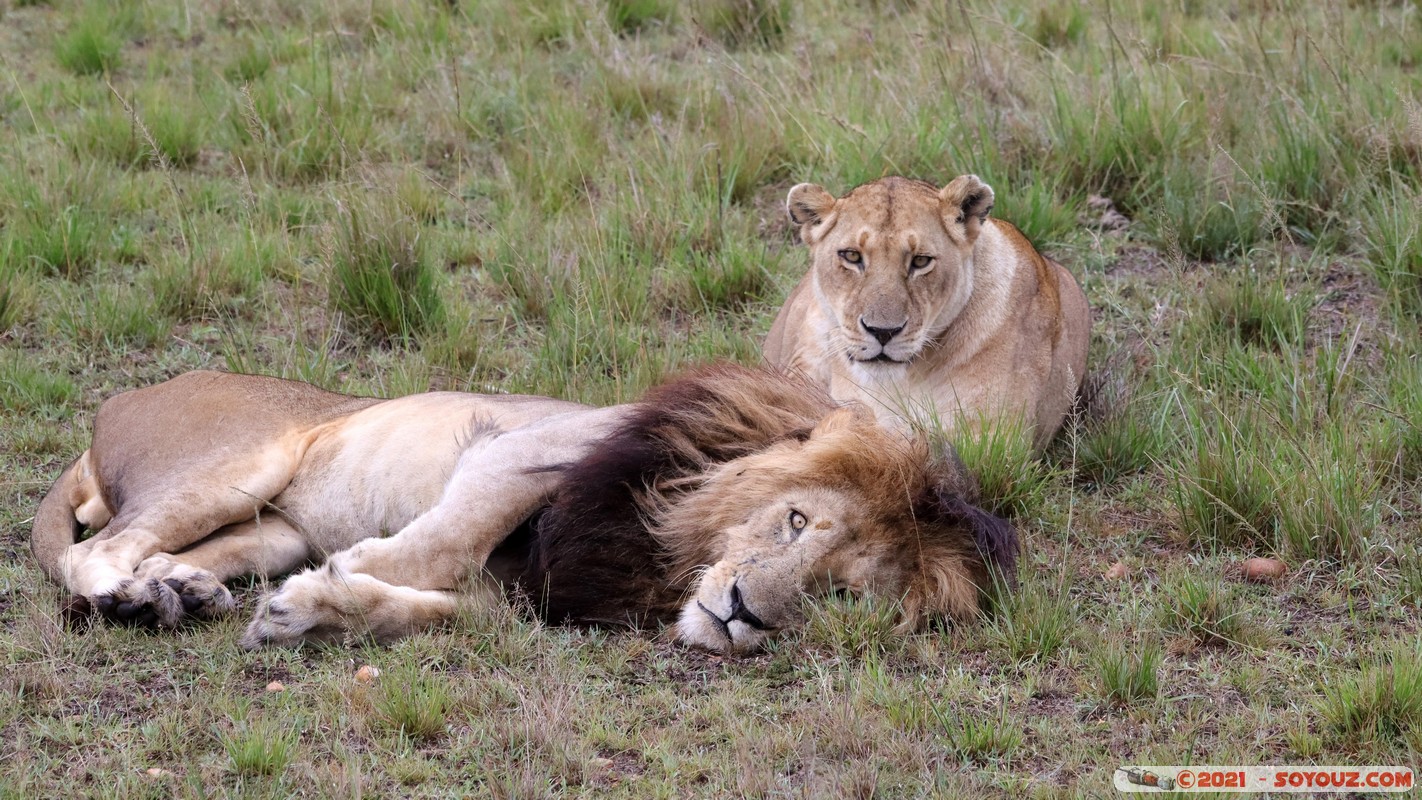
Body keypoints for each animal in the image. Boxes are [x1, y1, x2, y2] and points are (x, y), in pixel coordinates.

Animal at [30, 366, 1012, 653]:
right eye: (796, 521)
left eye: (840, 594)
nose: (741, 614)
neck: (663, 551)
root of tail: (121, 403)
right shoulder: (519, 449)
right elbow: (439, 545)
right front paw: (335, 583)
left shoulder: (528, 595)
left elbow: (434, 609)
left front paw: (319, 605)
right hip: (239, 464)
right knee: (97, 550)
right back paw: (130, 600)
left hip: (269, 526)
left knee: (173, 549)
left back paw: (185, 592)